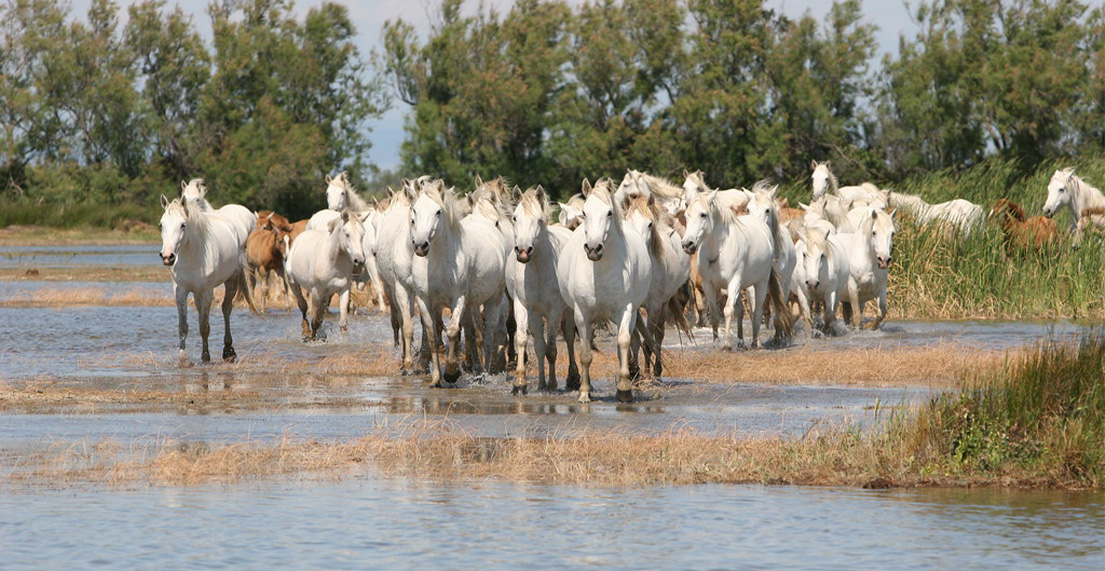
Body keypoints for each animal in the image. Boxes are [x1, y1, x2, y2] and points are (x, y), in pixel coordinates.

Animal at [159, 195, 255, 364]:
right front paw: (183, 358)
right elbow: (183, 327)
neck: (192, 257)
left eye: (183, 225)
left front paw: (205, 356)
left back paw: (228, 350)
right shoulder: (181, 291)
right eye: (161, 225)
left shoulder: (207, 292)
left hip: (231, 280)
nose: (167, 256)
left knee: (226, 309)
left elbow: (204, 326)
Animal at [285, 210, 367, 341]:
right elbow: (315, 321)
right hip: (293, 283)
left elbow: (343, 321)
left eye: (362, 234)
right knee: (303, 306)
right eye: (347, 234)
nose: (359, 260)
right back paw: (306, 330)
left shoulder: (344, 290)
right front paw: (313, 339)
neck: (332, 260)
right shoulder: (316, 292)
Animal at [409, 181, 506, 386]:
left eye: (438, 211)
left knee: (489, 334)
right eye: (414, 210)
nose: (421, 245)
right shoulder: (424, 300)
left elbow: (453, 331)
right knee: (472, 333)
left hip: (494, 299)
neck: (437, 260)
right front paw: (436, 378)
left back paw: (485, 373)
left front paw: (452, 372)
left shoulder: (457, 298)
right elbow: (432, 335)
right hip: (471, 305)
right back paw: (477, 369)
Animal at [507, 185, 578, 395]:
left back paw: (573, 378)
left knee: (569, 336)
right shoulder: (524, 307)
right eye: (515, 218)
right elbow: (526, 341)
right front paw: (520, 383)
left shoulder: (554, 310)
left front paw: (553, 384)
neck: (538, 268)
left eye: (539, 219)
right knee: (539, 345)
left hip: (568, 310)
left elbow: (552, 349)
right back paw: (540, 382)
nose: (523, 251)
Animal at [681, 188, 793, 351]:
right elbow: (714, 314)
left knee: (757, 311)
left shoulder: (734, 282)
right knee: (742, 310)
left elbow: (728, 310)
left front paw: (727, 344)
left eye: (703, 214)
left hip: (761, 283)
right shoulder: (709, 285)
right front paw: (715, 342)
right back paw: (741, 341)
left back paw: (755, 342)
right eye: (686, 216)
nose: (687, 244)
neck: (718, 250)